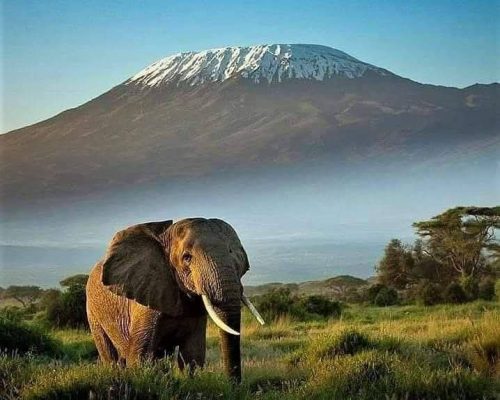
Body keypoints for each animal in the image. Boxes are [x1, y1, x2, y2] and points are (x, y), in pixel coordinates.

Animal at [85, 217, 266, 382]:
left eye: (231, 252)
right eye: (187, 257)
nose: (234, 387)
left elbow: (193, 355)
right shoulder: (146, 299)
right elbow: (140, 357)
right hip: (93, 312)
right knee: (111, 356)